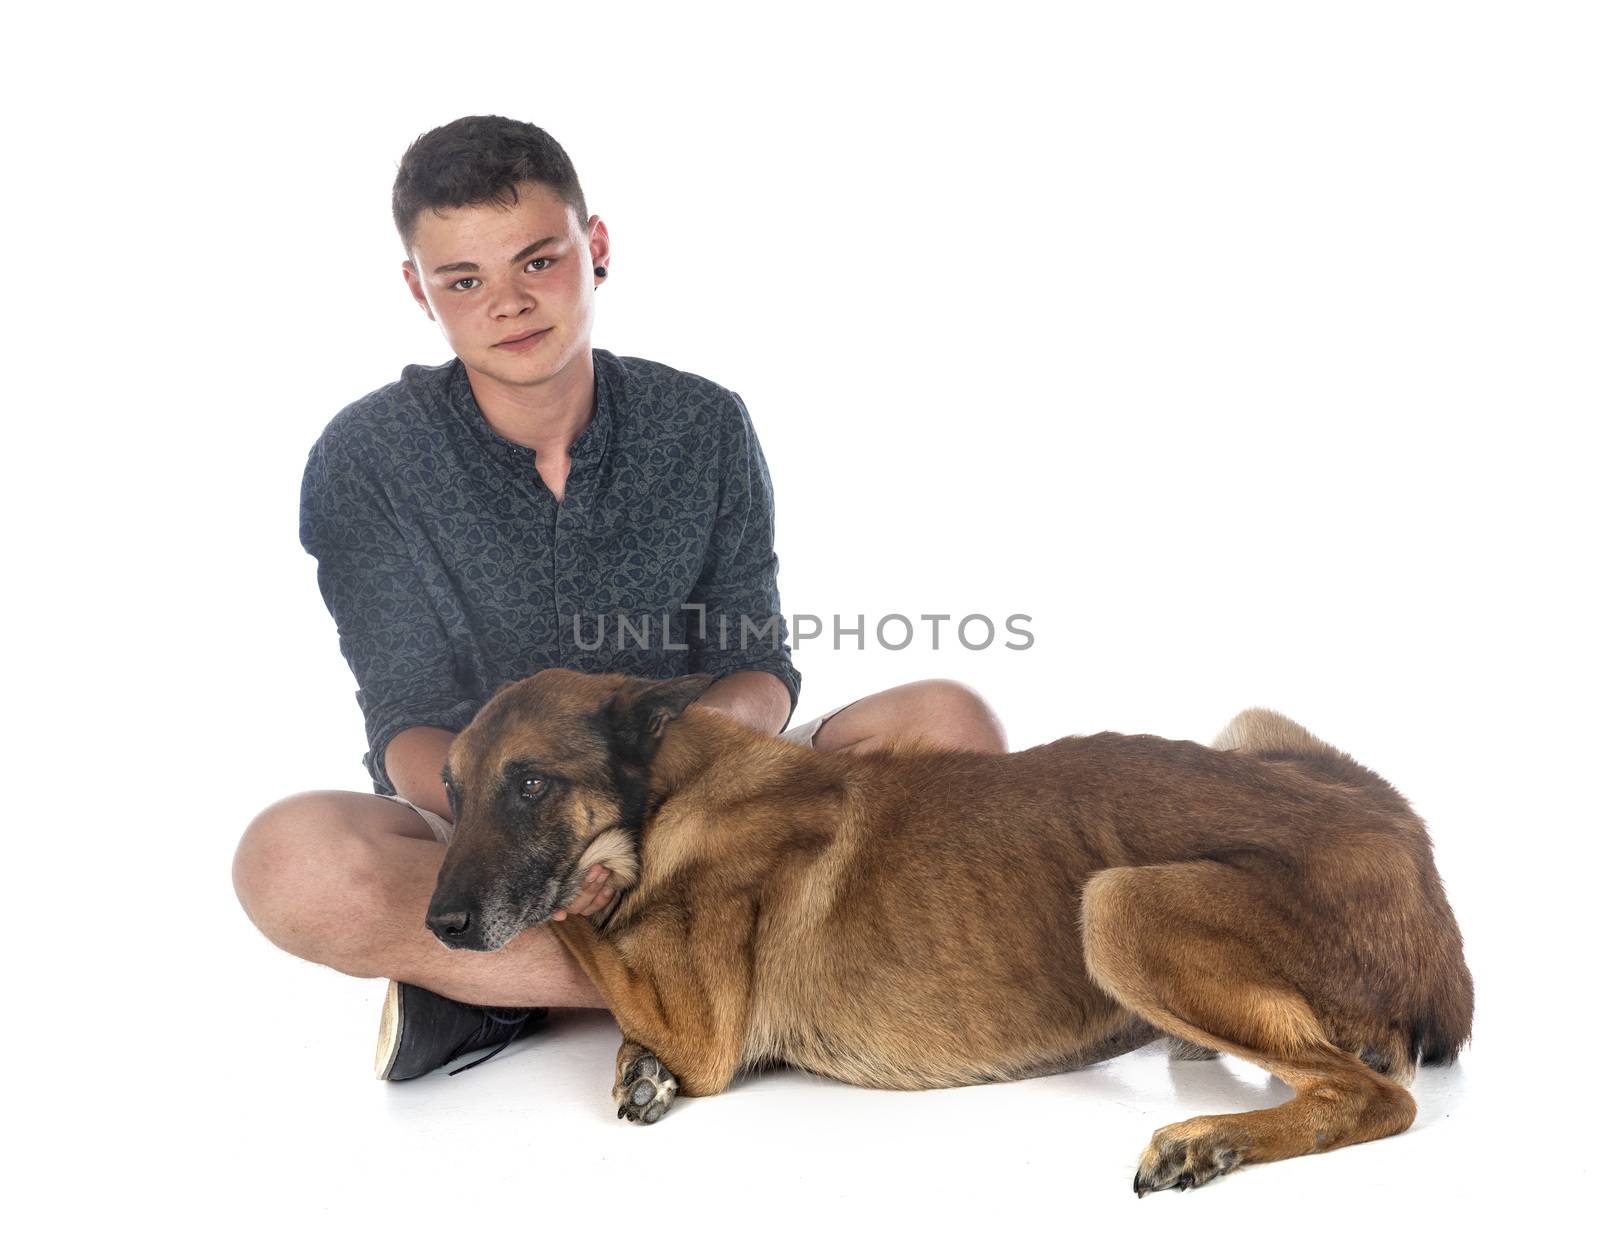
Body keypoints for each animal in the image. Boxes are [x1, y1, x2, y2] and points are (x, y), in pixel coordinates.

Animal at [428, 671, 1472, 1190]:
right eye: (452, 790)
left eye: (530, 785)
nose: (437, 924)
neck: (678, 784)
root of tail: (1410, 846)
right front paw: (635, 1068)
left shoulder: (704, 1036)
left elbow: (576, 928)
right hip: (1251, 728)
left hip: (1116, 906)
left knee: (1373, 1097)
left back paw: (1210, 1141)